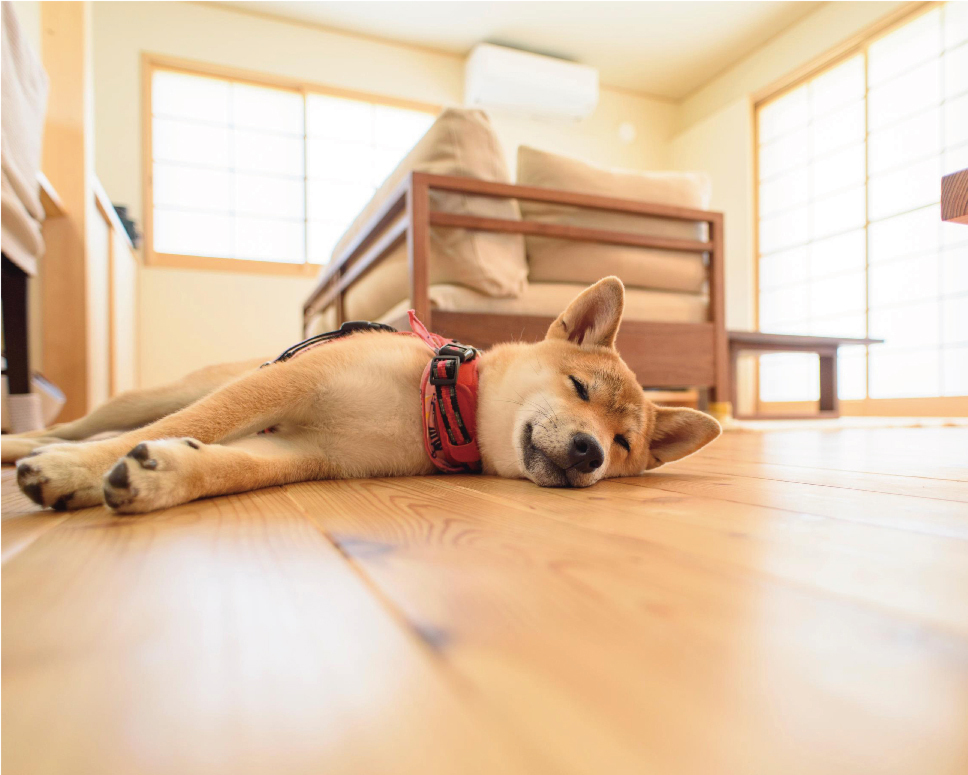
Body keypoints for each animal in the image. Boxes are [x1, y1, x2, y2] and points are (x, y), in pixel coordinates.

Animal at [5, 278, 720, 516]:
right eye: (579, 388)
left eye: (623, 444)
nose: (588, 451)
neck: (433, 408)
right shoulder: (287, 384)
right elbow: (205, 421)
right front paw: (75, 471)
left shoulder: (309, 450)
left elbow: (227, 463)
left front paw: (163, 473)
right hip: (152, 394)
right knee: (96, 424)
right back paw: (33, 442)